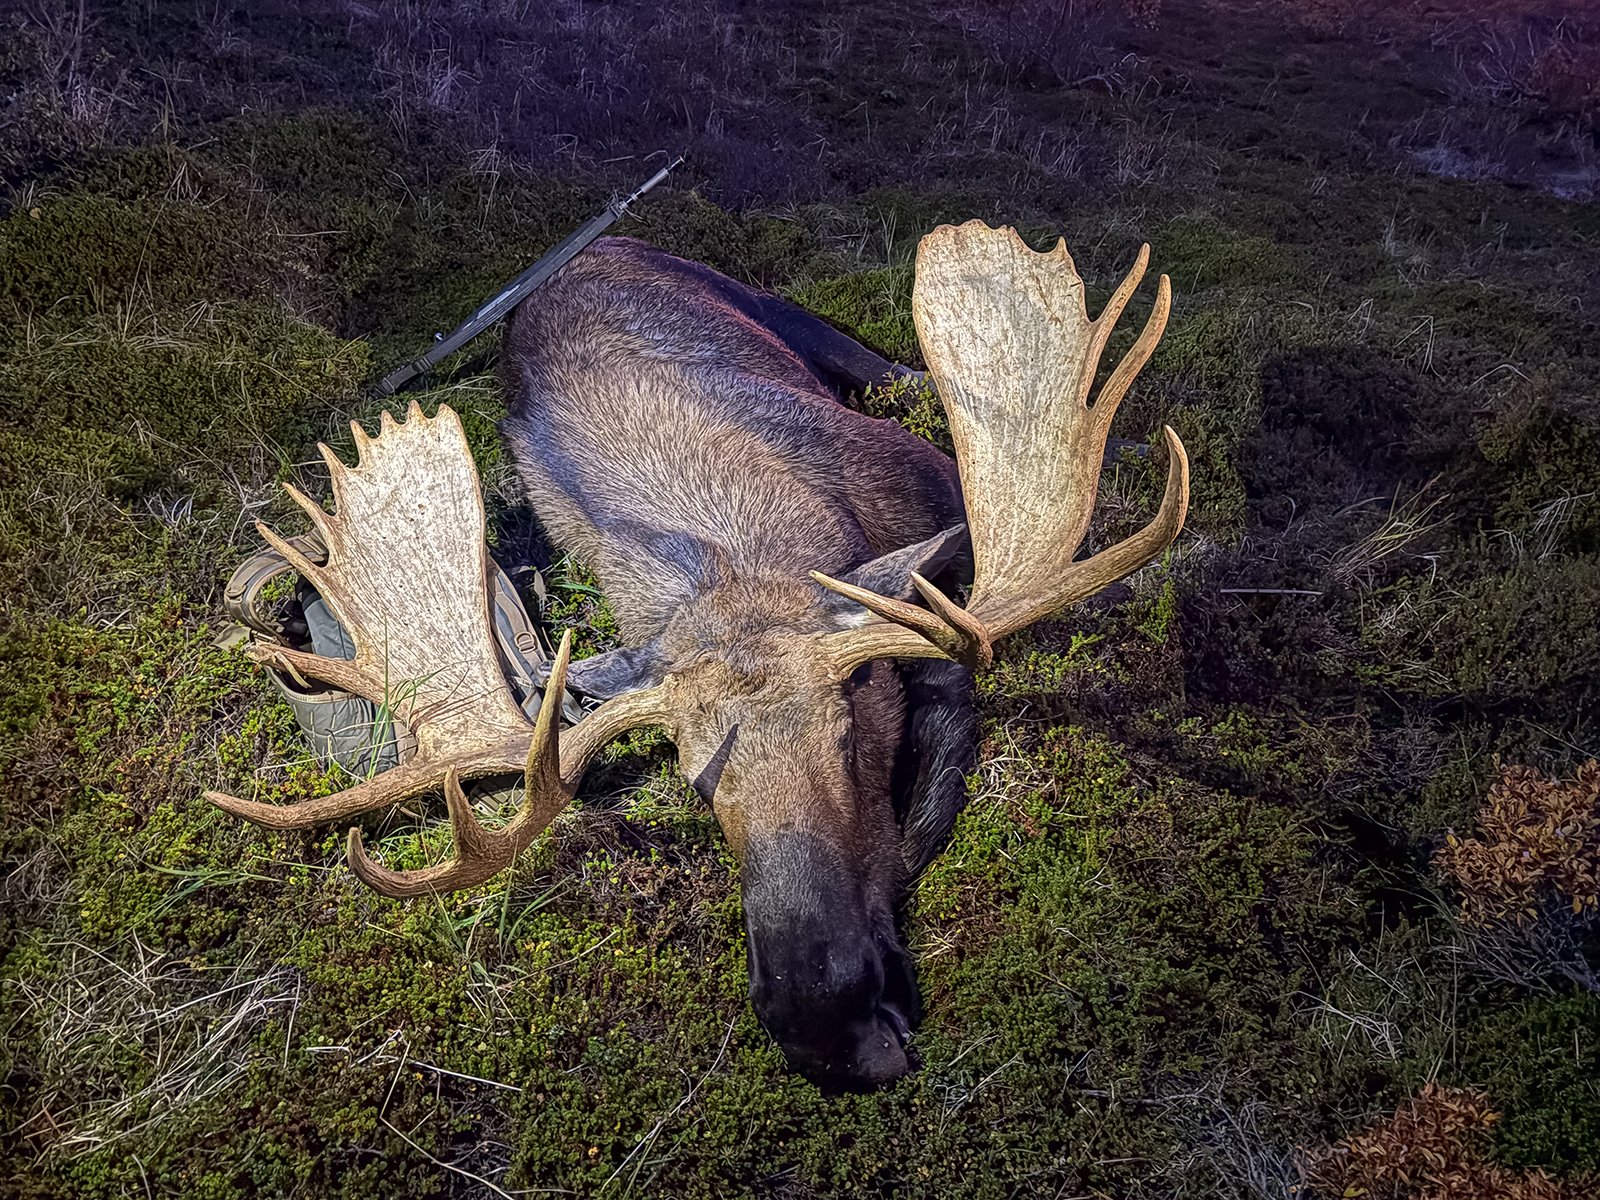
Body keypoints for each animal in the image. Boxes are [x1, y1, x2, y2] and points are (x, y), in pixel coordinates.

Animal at [205, 221, 1189, 1087]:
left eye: (851, 734)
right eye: (696, 783)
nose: (825, 1026)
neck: (735, 549)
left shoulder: (926, 485)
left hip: (775, 307)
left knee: (899, 368)